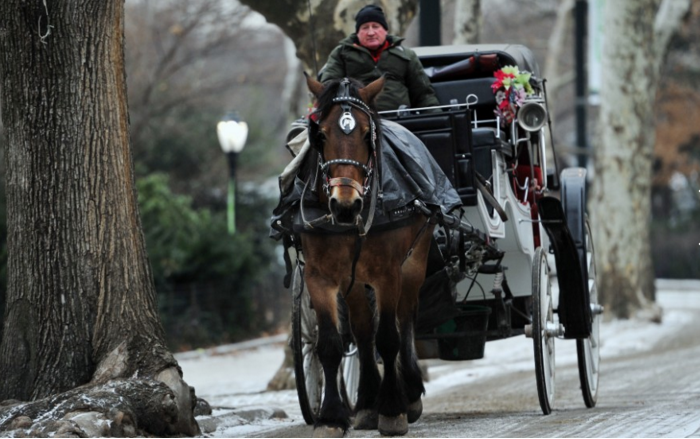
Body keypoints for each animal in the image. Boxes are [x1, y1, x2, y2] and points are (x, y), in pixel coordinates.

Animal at [302, 75, 438, 436]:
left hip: (415, 261)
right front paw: (332, 417)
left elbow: (388, 338)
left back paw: (410, 392)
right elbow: (330, 344)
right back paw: (365, 403)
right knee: (362, 333)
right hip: (353, 280)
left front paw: (392, 409)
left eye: (367, 134)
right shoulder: (319, 277)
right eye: (321, 135)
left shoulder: (388, 273)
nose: (345, 205)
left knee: (405, 319)